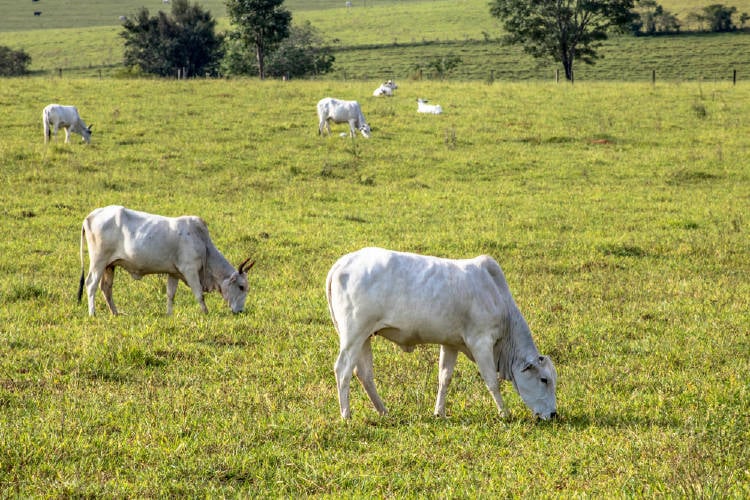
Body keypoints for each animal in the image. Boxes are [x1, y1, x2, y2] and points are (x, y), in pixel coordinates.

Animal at [78, 206, 256, 316]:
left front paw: (169, 314)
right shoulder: (190, 270)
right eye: (241, 287)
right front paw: (206, 312)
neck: (203, 244)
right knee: (91, 284)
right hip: (99, 261)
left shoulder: (174, 273)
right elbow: (199, 294)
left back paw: (115, 313)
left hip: (109, 265)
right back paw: (92, 313)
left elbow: (171, 294)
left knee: (106, 288)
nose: (240, 311)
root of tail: (90, 216)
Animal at [328, 248, 560, 420]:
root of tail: (341, 263)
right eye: (544, 379)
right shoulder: (481, 342)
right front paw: (504, 413)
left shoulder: (451, 344)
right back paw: (346, 415)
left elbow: (444, 378)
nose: (553, 414)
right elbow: (491, 381)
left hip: (365, 336)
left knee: (364, 374)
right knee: (343, 370)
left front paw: (439, 412)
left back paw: (383, 411)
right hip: (353, 335)